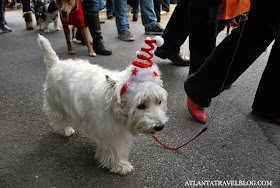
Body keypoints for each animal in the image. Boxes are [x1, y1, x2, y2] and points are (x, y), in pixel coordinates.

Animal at [37, 35, 168, 175]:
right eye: (141, 105)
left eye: (159, 102)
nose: (159, 126)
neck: (114, 106)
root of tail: (56, 64)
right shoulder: (109, 134)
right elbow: (115, 150)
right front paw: (121, 166)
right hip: (56, 103)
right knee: (59, 117)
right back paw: (65, 130)